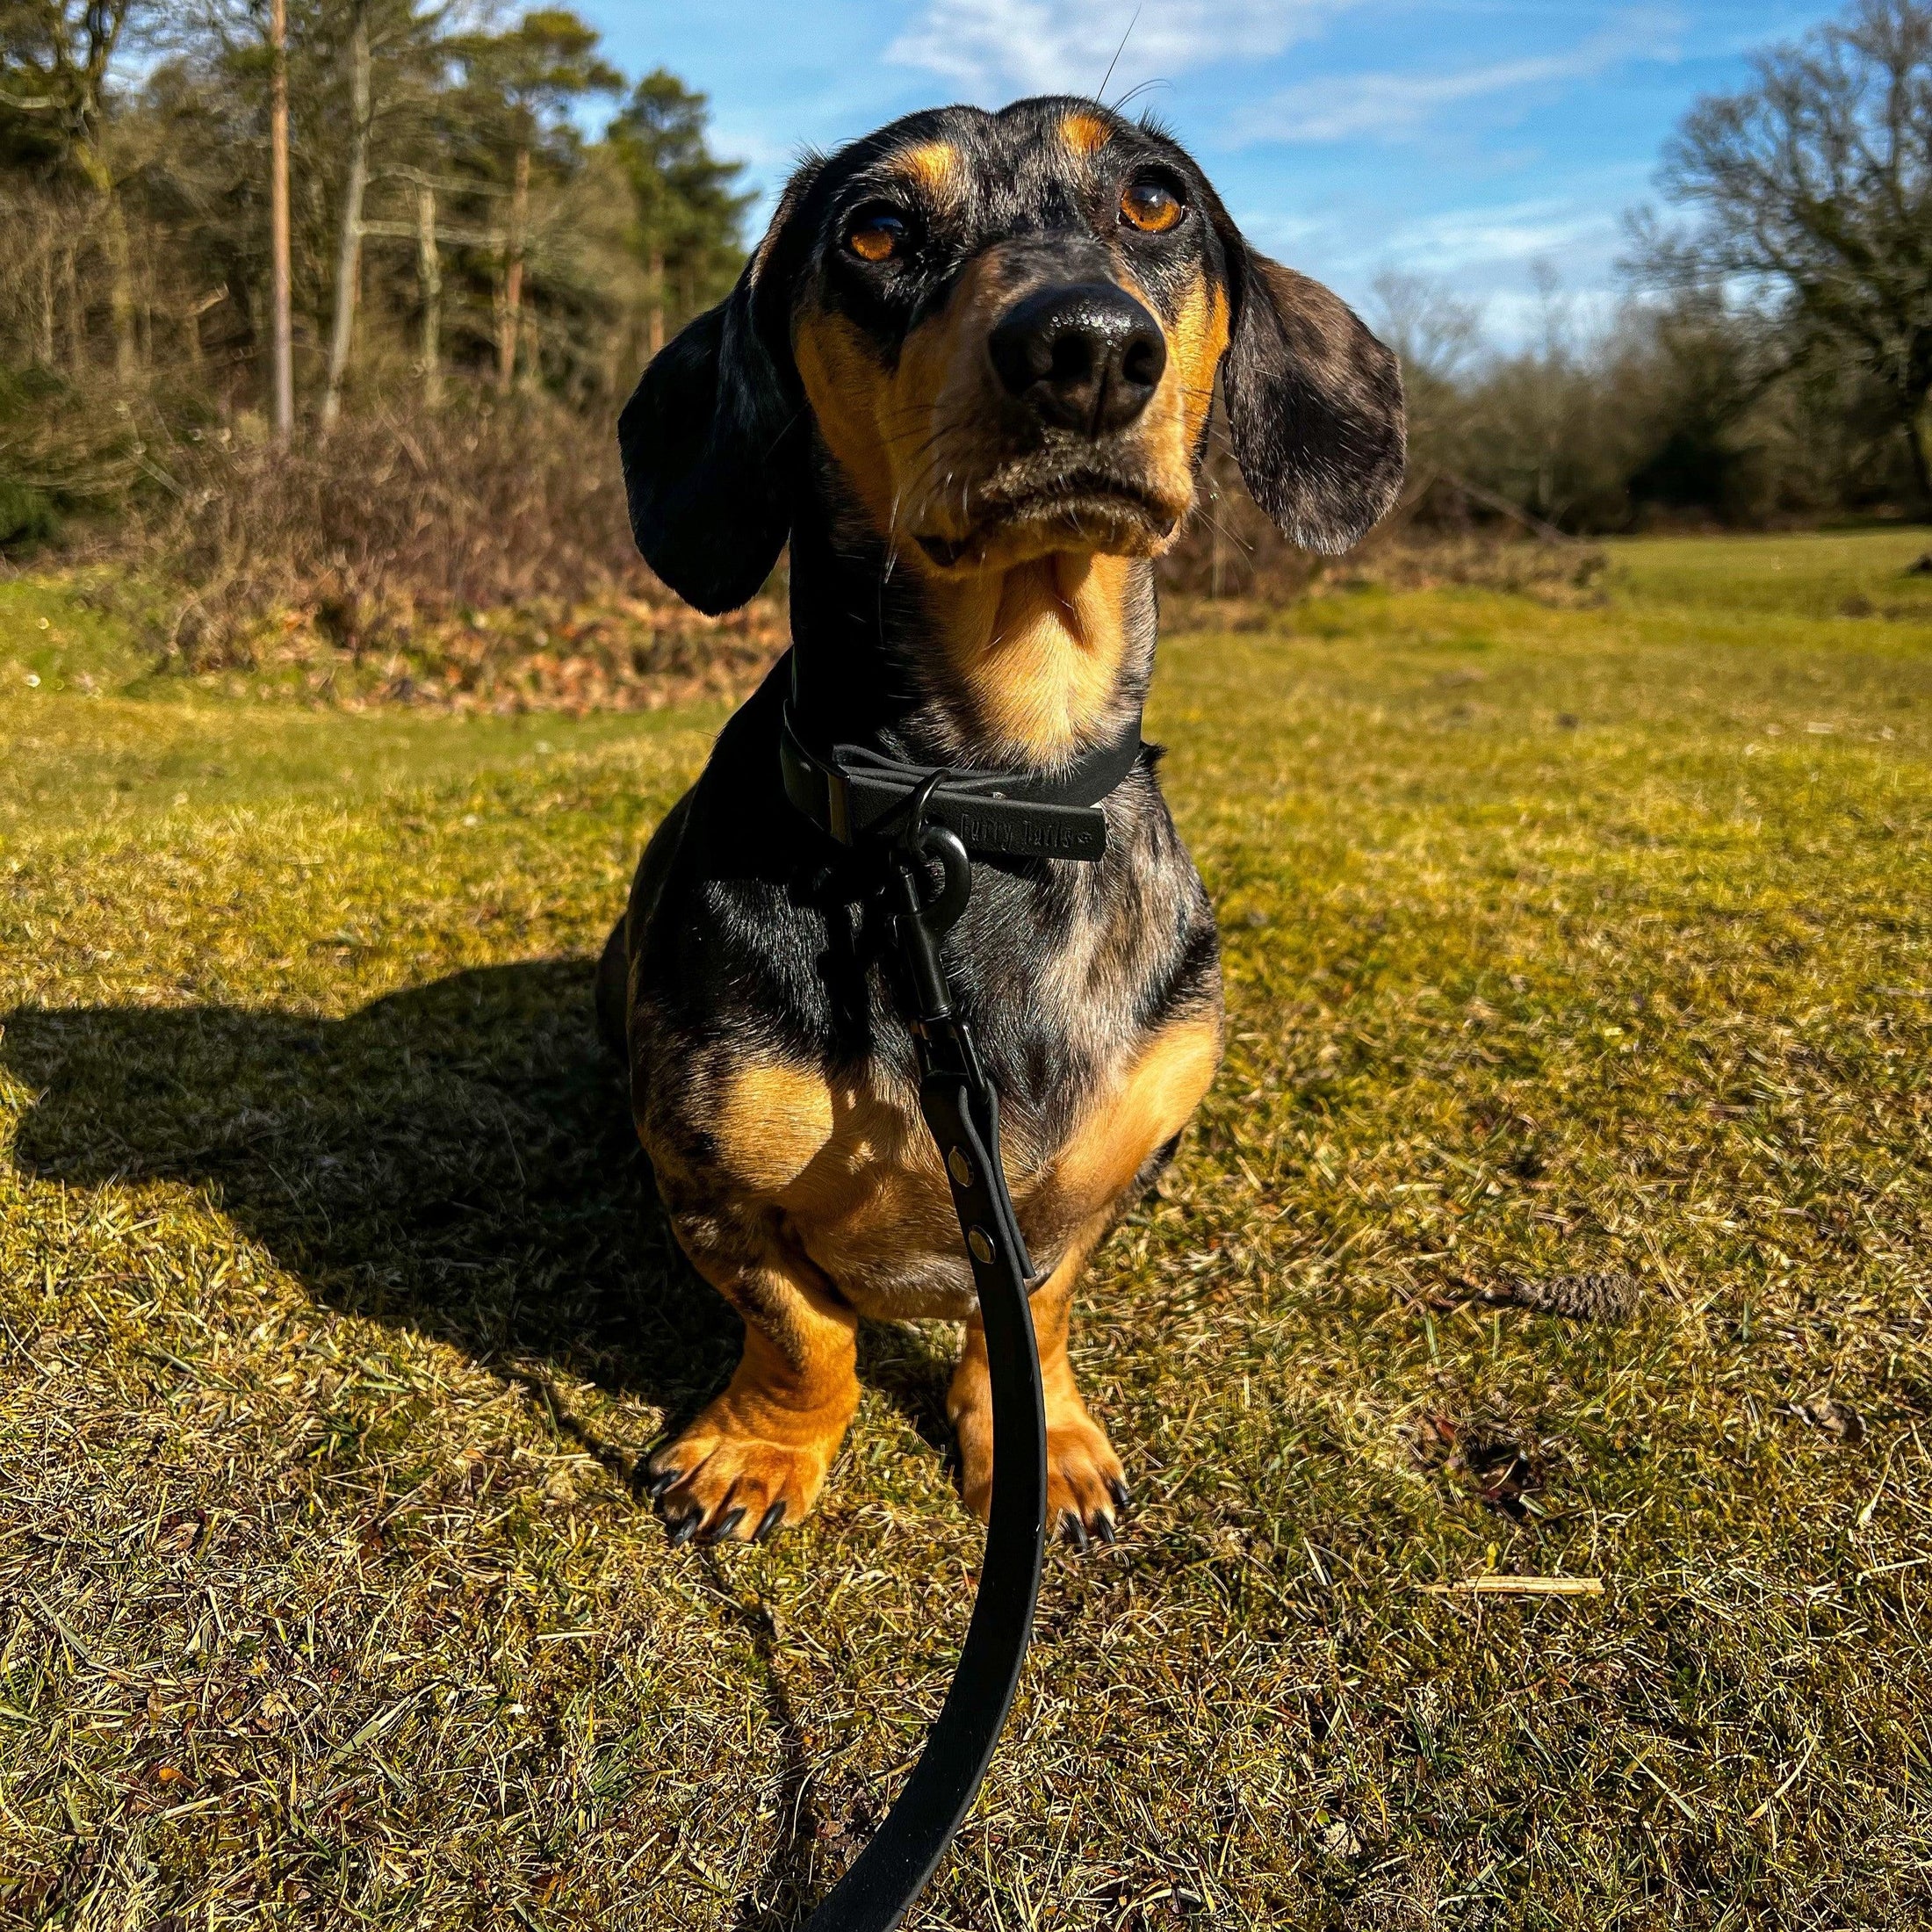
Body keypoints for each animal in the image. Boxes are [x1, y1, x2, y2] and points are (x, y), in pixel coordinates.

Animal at [595, 97, 1398, 1553]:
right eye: (874, 229)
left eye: (1155, 198)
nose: (1088, 349)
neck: (983, 807)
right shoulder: (708, 1184)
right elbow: (803, 1328)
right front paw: (760, 1448)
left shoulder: (1110, 1178)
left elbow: (1039, 1301)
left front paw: (1045, 1444)